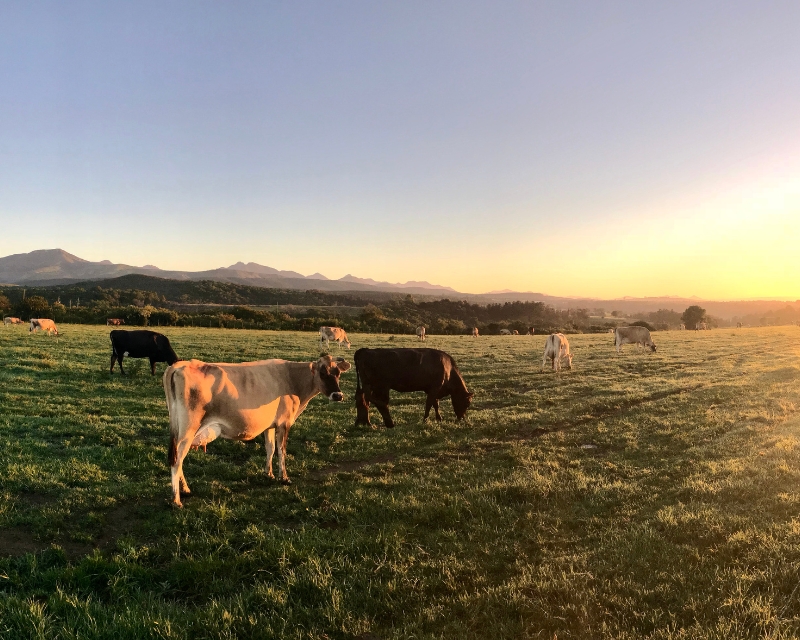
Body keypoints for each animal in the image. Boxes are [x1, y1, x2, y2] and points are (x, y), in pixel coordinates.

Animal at [164, 352, 348, 508]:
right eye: (322, 373)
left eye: (338, 373)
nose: (338, 395)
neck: (291, 379)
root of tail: (181, 365)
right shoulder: (284, 423)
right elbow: (282, 450)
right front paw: (284, 478)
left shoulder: (270, 425)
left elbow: (270, 448)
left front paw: (269, 474)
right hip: (187, 430)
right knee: (177, 460)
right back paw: (176, 500)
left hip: (179, 430)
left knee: (178, 459)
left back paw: (185, 490)